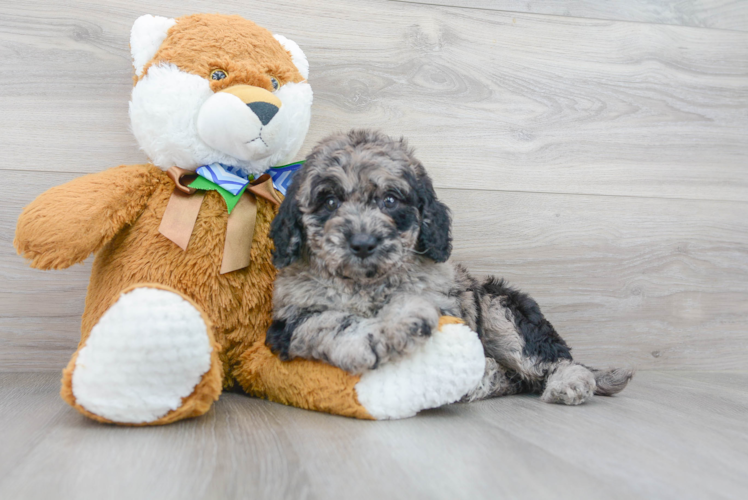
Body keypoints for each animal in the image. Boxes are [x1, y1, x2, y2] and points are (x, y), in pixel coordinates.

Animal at [268, 130, 632, 406]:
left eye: (390, 200)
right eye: (329, 201)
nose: (362, 243)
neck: (365, 284)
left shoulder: (448, 306)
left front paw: (403, 318)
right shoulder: (287, 322)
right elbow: (328, 322)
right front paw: (377, 335)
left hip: (500, 309)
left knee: (555, 362)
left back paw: (566, 384)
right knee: (518, 377)